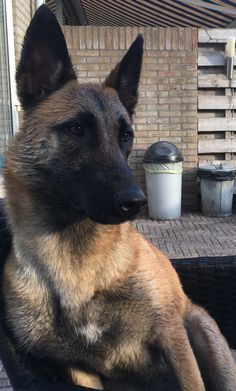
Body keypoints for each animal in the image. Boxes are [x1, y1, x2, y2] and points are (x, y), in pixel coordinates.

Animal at [0, 5, 236, 391]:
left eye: (126, 135)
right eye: (77, 129)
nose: (136, 201)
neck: (76, 260)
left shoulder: (173, 336)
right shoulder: (77, 369)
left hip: (203, 329)